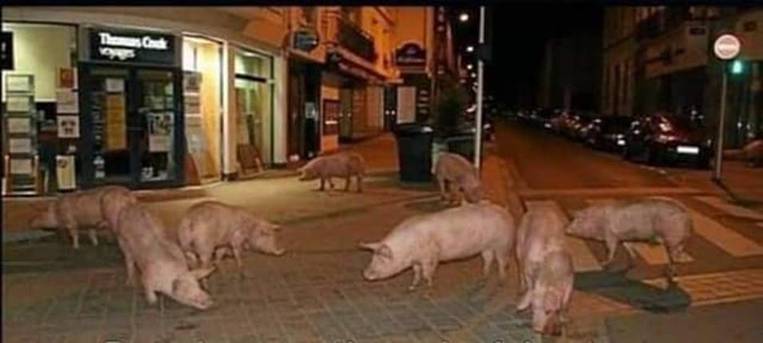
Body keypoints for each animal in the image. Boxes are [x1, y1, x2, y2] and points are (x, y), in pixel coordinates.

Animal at [360, 203, 516, 292]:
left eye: (382, 259)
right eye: (373, 256)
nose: (365, 274)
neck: (407, 249)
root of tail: (506, 212)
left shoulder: (430, 257)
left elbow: (426, 273)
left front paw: (429, 288)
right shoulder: (416, 260)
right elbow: (416, 272)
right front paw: (411, 288)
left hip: (502, 244)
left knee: (502, 262)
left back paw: (501, 282)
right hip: (486, 247)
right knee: (488, 259)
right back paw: (483, 278)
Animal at [516, 207, 576, 336]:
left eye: (548, 311)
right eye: (534, 308)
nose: (537, 329)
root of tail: (538, 209)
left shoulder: (570, 280)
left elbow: (565, 303)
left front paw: (564, 319)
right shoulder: (529, 271)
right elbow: (530, 286)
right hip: (518, 245)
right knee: (520, 267)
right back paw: (521, 288)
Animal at [564, 198, 696, 284]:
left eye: (578, 220)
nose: (565, 229)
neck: (599, 221)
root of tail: (688, 217)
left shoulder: (611, 235)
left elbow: (610, 250)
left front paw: (604, 263)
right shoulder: (622, 237)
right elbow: (629, 246)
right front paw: (632, 261)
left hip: (673, 239)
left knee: (674, 258)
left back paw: (671, 276)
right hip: (678, 242)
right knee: (676, 257)